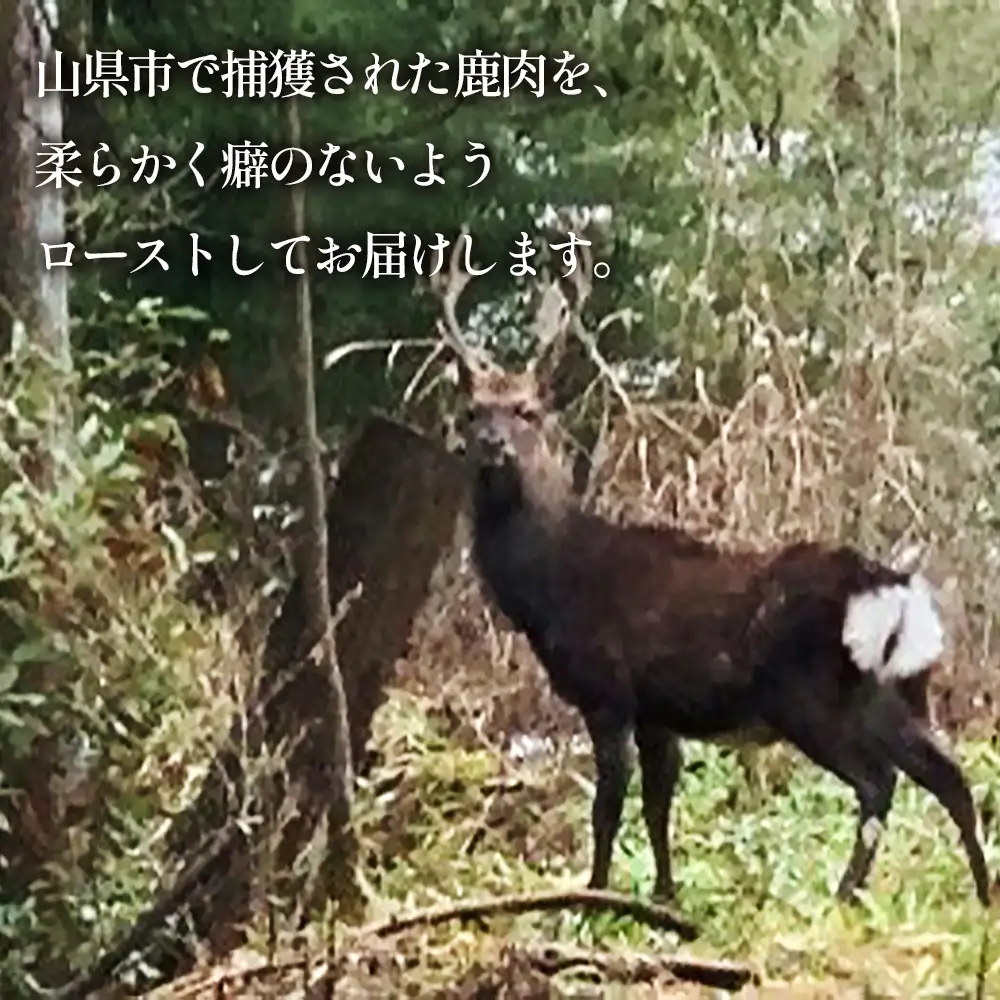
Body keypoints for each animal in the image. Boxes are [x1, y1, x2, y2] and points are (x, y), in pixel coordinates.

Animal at [427, 228, 992, 911]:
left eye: (528, 412)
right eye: (472, 411)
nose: (493, 446)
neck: (551, 583)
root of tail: (895, 596)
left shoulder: (608, 689)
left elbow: (608, 809)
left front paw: (593, 897)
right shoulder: (657, 712)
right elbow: (658, 807)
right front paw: (663, 898)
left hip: (809, 694)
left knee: (878, 781)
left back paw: (842, 895)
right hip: (897, 691)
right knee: (948, 774)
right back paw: (981, 896)